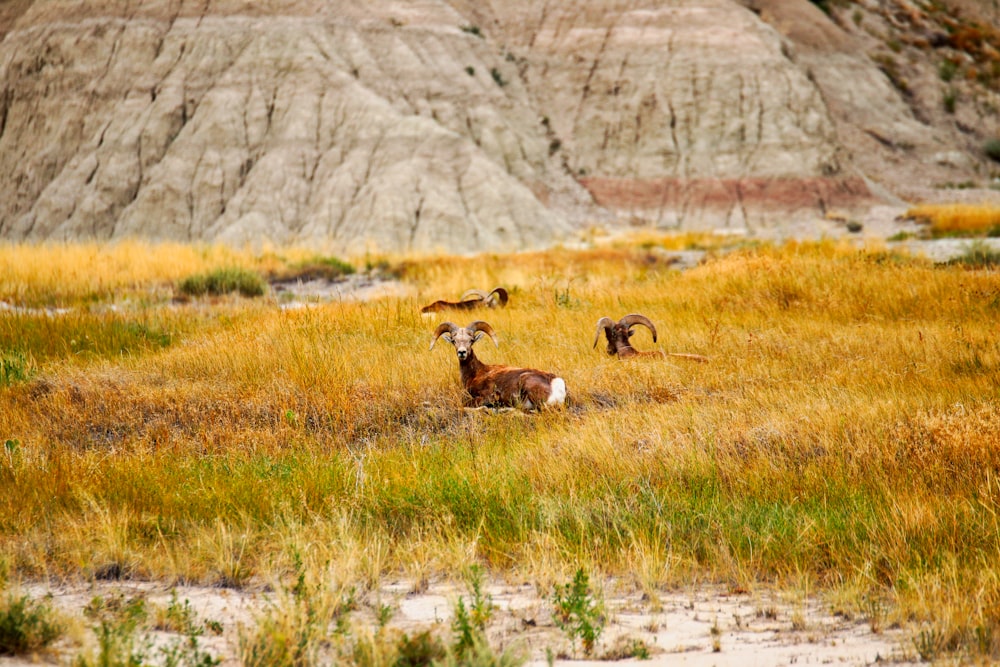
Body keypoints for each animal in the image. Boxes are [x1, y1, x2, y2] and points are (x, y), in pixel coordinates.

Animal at [430, 320, 568, 410]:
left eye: (471, 340)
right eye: (454, 341)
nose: (462, 352)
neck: (476, 373)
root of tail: (557, 383)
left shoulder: (485, 397)